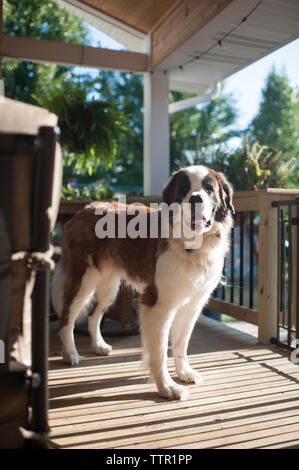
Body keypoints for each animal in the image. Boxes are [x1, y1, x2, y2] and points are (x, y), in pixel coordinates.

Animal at [51, 165, 234, 400]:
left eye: (208, 188)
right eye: (184, 188)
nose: (195, 198)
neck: (191, 245)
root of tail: (85, 209)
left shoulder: (193, 304)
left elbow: (181, 342)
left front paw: (184, 372)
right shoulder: (158, 304)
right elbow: (160, 351)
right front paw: (167, 387)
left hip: (109, 286)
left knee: (93, 315)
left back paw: (99, 345)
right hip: (83, 280)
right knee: (67, 317)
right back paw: (70, 353)